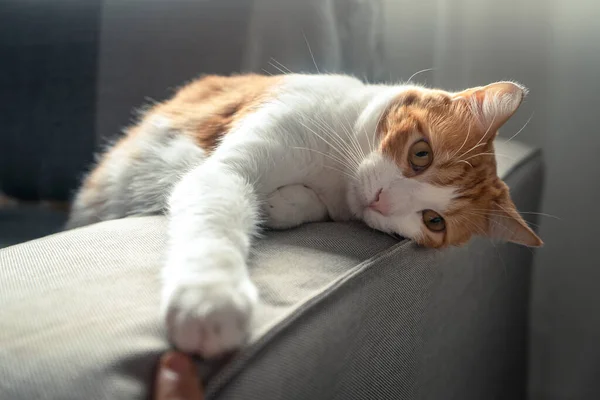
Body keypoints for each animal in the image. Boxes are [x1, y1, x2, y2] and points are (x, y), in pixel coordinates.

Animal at [67, 73, 544, 358]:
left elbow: (296, 204)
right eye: (420, 154)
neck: (334, 168)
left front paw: (280, 205)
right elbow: (218, 221)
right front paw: (209, 299)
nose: (383, 201)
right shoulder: (227, 170)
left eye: (434, 221)